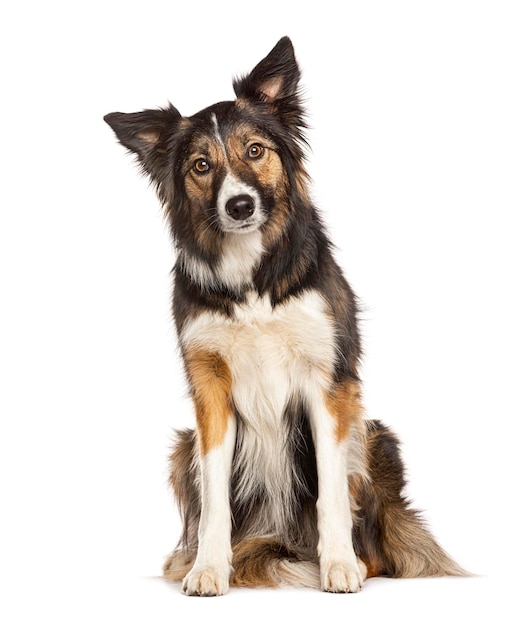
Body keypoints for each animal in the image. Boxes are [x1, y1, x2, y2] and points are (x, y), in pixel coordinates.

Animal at [104, 36, 464, 592]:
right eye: (201, 165)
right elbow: (214, 500)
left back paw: (351, 559)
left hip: (375, 434)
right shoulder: (209, 387)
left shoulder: (329, 381)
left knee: (375, 545)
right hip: (182, 449)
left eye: (255, 150)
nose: (240, 205)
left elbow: (332, 493)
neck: (253, 278)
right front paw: (209, 569)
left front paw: (338, 566)